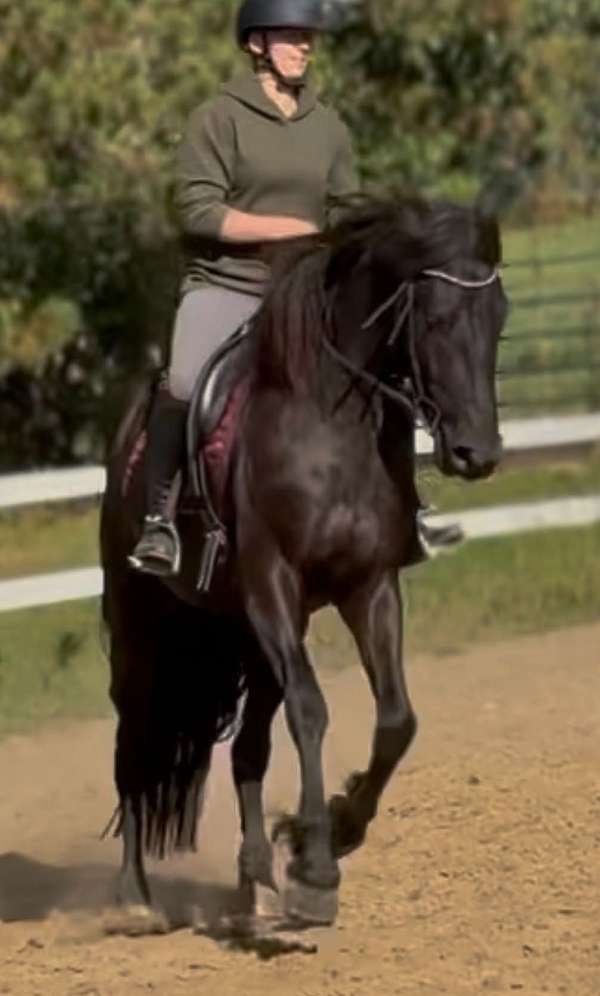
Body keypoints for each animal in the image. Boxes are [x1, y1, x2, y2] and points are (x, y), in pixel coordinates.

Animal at [100, 197, 507, 929]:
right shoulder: (274, 585)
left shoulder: (370, 587)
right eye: (435, 319)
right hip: (141, 629)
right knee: (134, 744)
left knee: (247, 750)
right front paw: (316, 870)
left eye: (500, 318)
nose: (477, 454)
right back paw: (136, 897)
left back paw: (254, 880)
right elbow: (311, 711)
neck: (331, 425)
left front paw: (336, 830)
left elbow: (397, 718)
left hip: (246, 638)